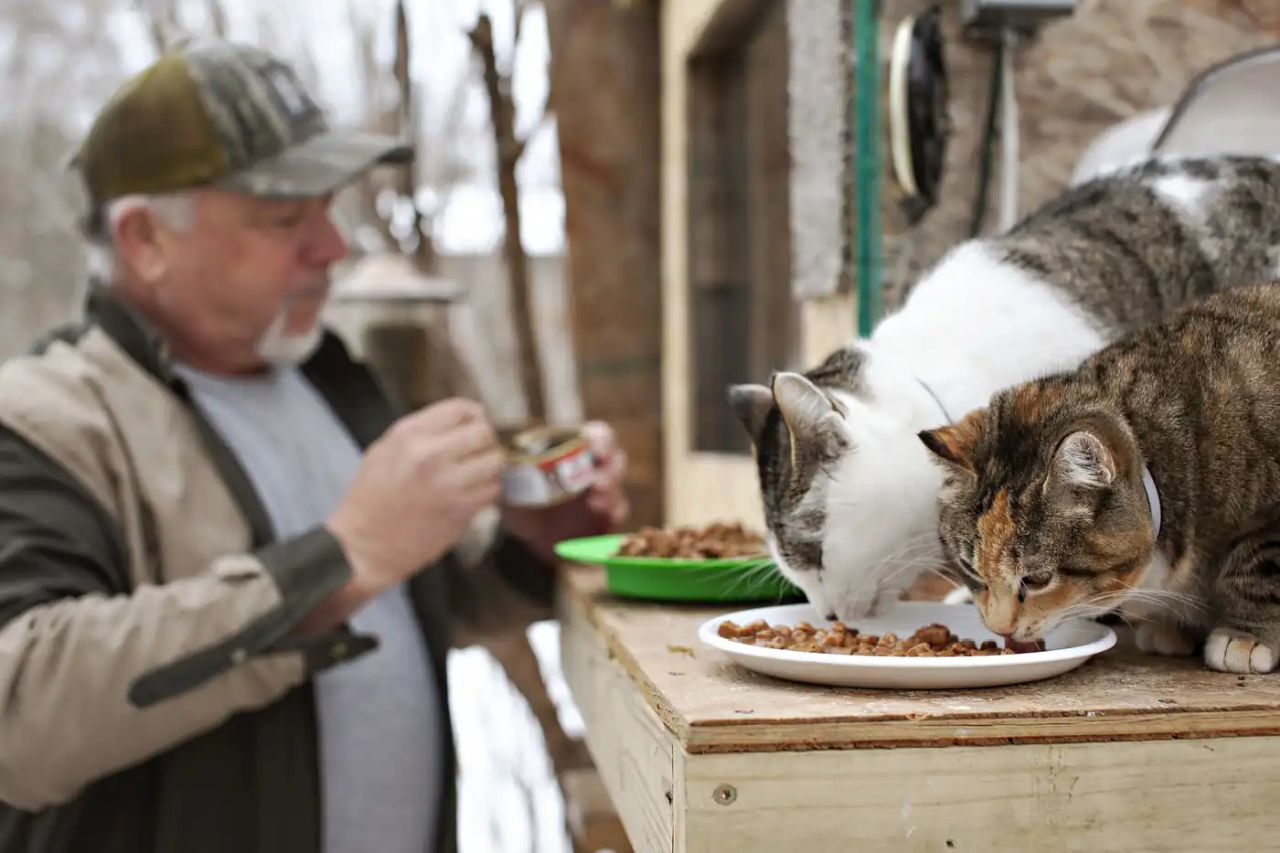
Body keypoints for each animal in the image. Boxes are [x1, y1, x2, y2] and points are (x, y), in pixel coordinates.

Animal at [921, 285, 1280, 671]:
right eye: (970, 570)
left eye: (1036, 580)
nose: (1000, 629)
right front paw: (1174, 625)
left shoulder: (1268, 515)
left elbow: (1257, 567)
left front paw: (1243, 638)